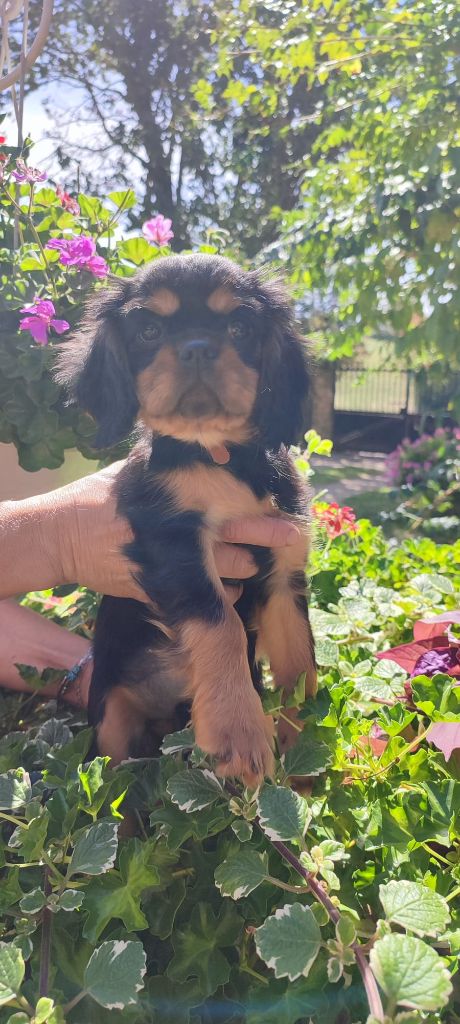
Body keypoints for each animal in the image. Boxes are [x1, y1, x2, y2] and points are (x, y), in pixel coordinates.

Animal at [54, 253, 315, 782]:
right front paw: (238, 728)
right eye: (149, 331)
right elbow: (220, 622)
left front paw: (303, 751)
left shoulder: (285, 565)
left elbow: (300, 662)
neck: (218, 455)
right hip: (111, 720)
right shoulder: (171, 539)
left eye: (239, 327)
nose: (196, 349)